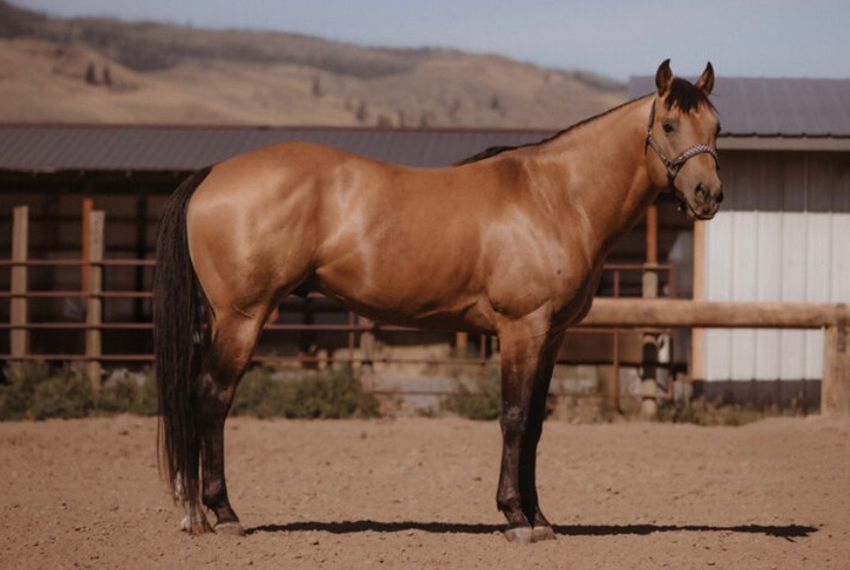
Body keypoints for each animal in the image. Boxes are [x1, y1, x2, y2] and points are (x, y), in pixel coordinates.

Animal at [153, 59, 723, 544]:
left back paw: (198, 513)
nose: (708, 195)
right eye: (669, 125)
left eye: (716, 128)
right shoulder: (521, 329)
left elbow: (536, 425)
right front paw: (515, 518)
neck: (556, 197)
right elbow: (514, 418)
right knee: (211, 399)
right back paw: (222, 514)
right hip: (242, 318)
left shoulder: (552, 336)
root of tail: (212, 173)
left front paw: (540, 518)